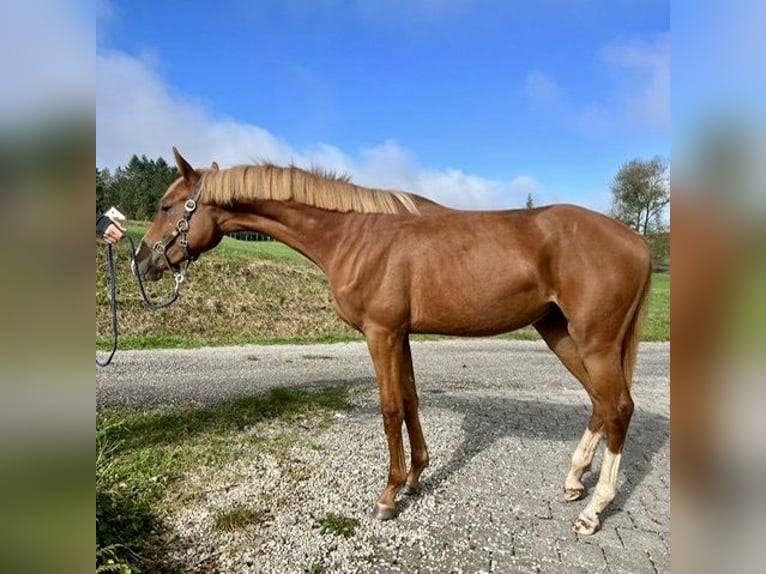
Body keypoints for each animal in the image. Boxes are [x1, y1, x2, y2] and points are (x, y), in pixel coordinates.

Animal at [134, 147, 656, 536]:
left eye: (165, 206)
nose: (142, 260)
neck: (356, 234)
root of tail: (638, 242)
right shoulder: (399, 335)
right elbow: (410, 401)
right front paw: (416, 476)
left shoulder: (380, 333)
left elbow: (388, 410)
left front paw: (388, 495)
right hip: (561, 335)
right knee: (599, 404)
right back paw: (574, 481)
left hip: (595, 343)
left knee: (618, 407)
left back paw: (593, 510)